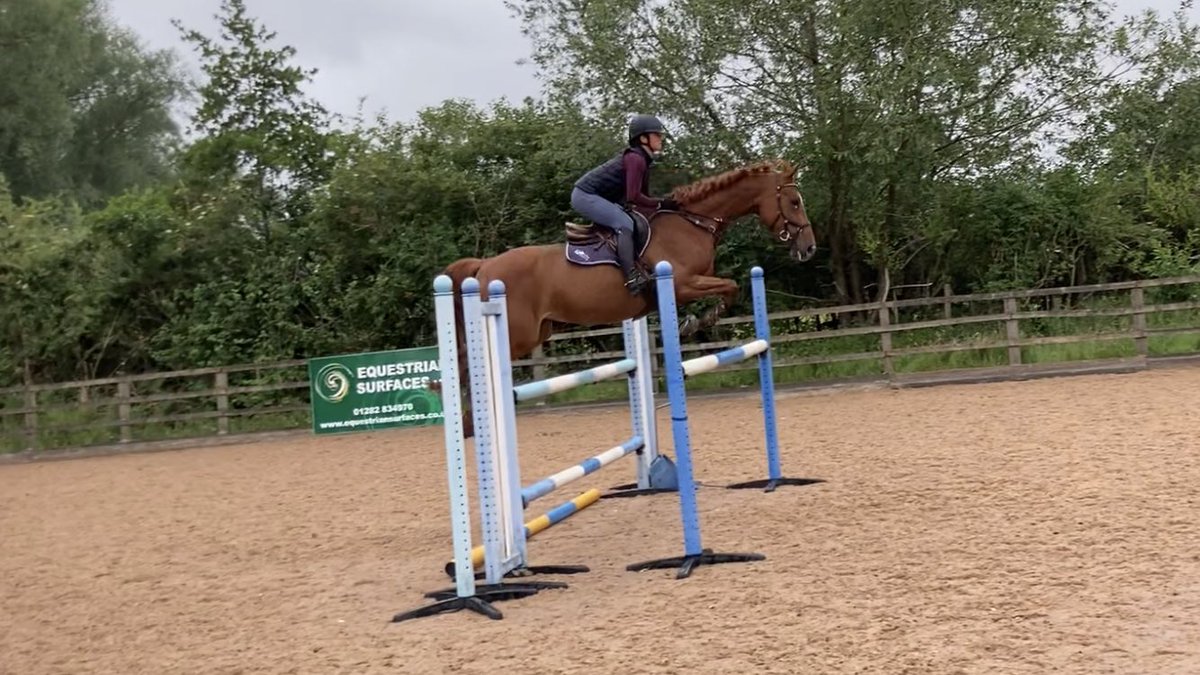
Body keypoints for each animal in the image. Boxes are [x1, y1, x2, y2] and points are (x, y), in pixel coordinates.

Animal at [441, 158, 816, 437]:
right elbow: (730, 287)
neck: (692, 223)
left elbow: (731, 287)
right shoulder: (681, 284)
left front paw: (697, 321)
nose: (809, 248)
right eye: (794, 202)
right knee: (468, 365)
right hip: (516, 334)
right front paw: (697, 321)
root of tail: (484, 265)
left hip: (536, 332)